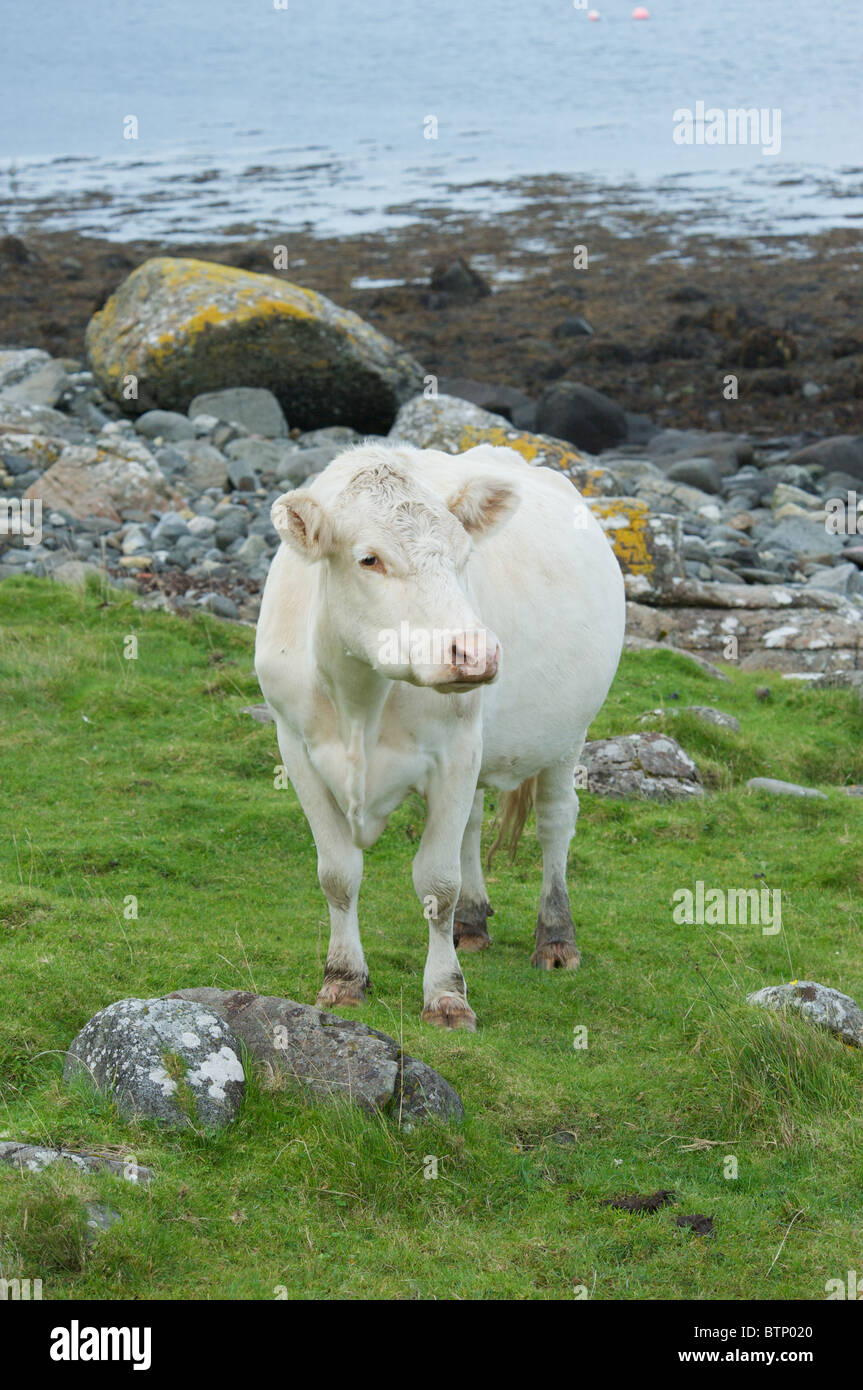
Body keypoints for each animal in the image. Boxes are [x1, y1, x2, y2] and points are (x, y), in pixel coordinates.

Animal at [252, 439, 622, 1028]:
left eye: (461, 556)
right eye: (369, 558)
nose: (475, 651)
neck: (358, 700)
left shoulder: (455, 751)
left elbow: (437, 884)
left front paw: (447, 996)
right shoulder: (297, 748)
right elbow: (338, 874)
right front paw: (343, 978)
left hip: (570, 733)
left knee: (555, 823)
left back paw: (556, 938)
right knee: (472, 823)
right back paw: (472, 923)